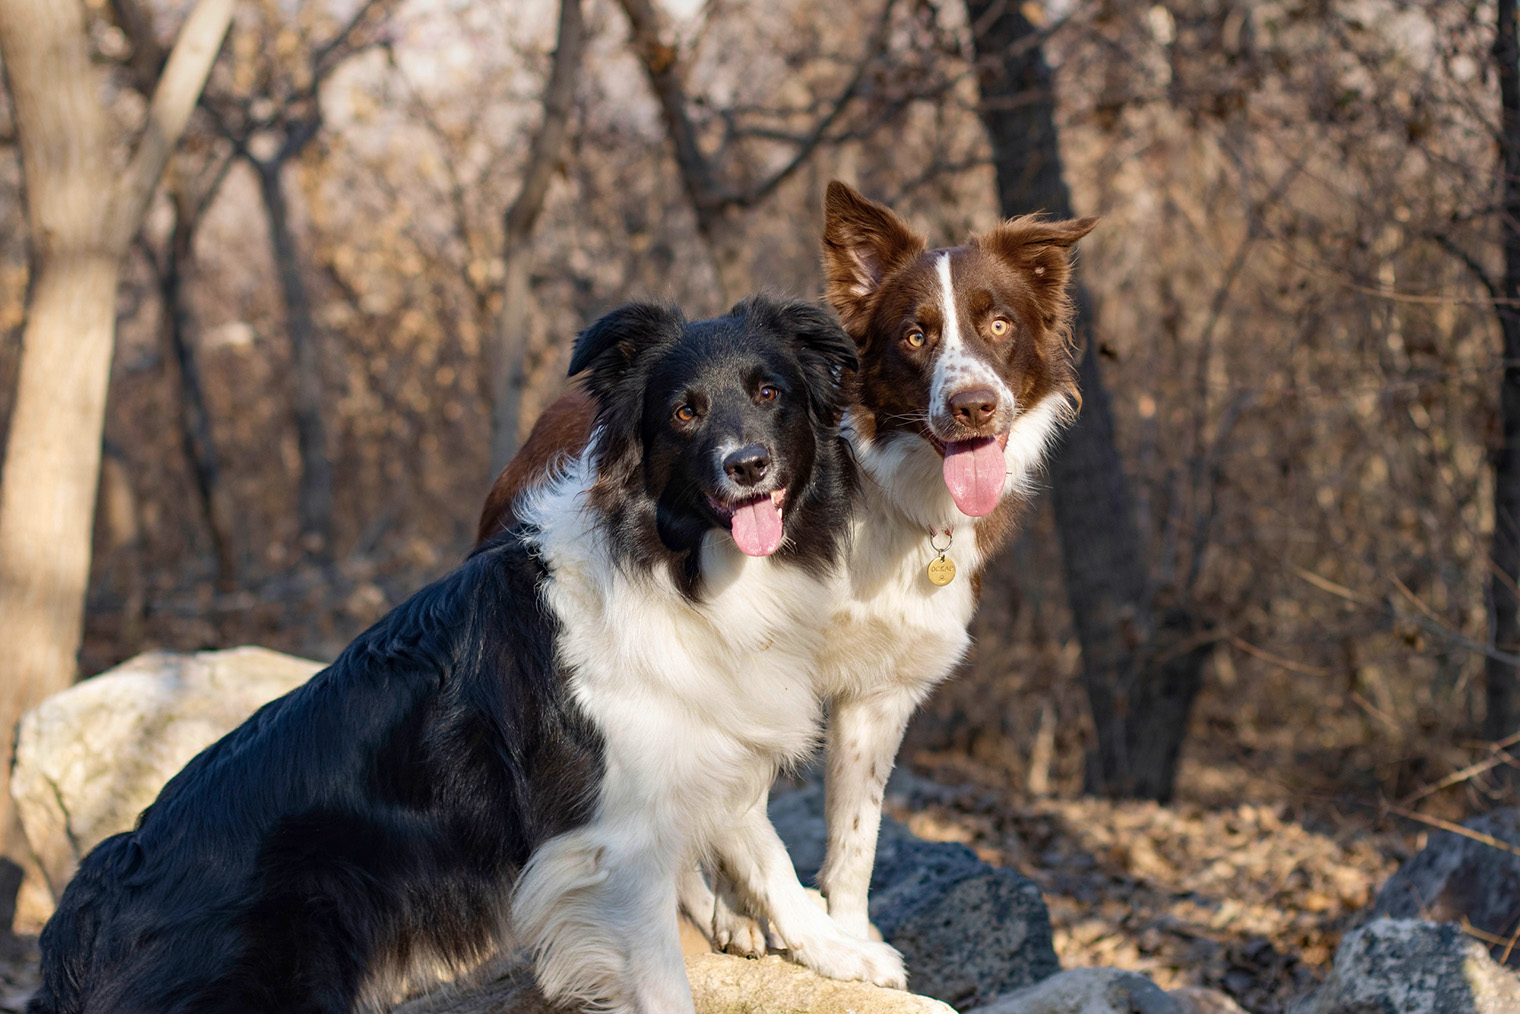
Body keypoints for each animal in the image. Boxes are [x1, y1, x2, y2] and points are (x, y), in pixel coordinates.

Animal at [26, 297, 899, 1009]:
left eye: (769, 393)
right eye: (685, 413)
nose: (747, 466)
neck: (676, 562)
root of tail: (83, 917)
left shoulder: (708, 738)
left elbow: (769, 858)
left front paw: (842, 954)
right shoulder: (612, 849)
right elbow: (663, 978)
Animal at [474, 180, 1094, 960]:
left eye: (1000, 324)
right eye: (915, 336)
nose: (973, 406)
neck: (883, 491)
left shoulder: (879, 693)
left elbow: (856, 837)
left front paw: (848, 938)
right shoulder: (733, 676)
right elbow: (742, 819)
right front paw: (788, 928)